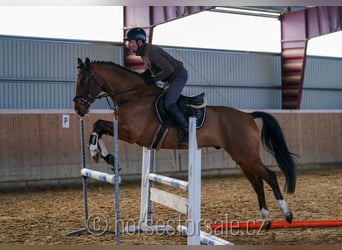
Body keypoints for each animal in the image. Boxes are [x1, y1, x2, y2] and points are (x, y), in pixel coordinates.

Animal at [73, 56, 296, 229]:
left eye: (83, 80)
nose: (78, 109)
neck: (133, 96)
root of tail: (248, 116)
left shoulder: (131, 133)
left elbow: (99, 124)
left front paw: (96, 151)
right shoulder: (125, 130)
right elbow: (99, 126)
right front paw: (106, 156)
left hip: (248, 157)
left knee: (270, 176)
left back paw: (287, 215)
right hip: (242, 158)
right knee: (257, 183)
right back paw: (266, 221)